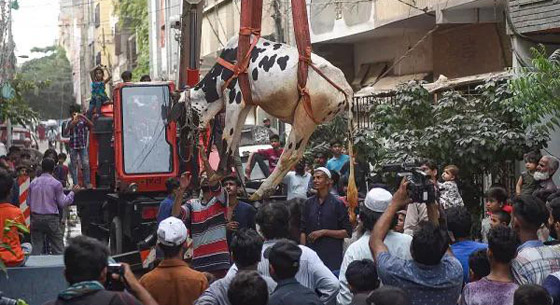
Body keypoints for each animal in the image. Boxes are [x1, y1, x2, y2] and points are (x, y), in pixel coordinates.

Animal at [179, 35, 354, 200]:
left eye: (179, 113)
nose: (183, 139)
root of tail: (345, 88)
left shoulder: (234, 98)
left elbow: (227, 136)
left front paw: (218, 173)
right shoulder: (245, 104)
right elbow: (235, 140)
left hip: (304, 116)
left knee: (289, 155)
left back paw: (261, 191)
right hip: (311, 120)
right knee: (297, 153)